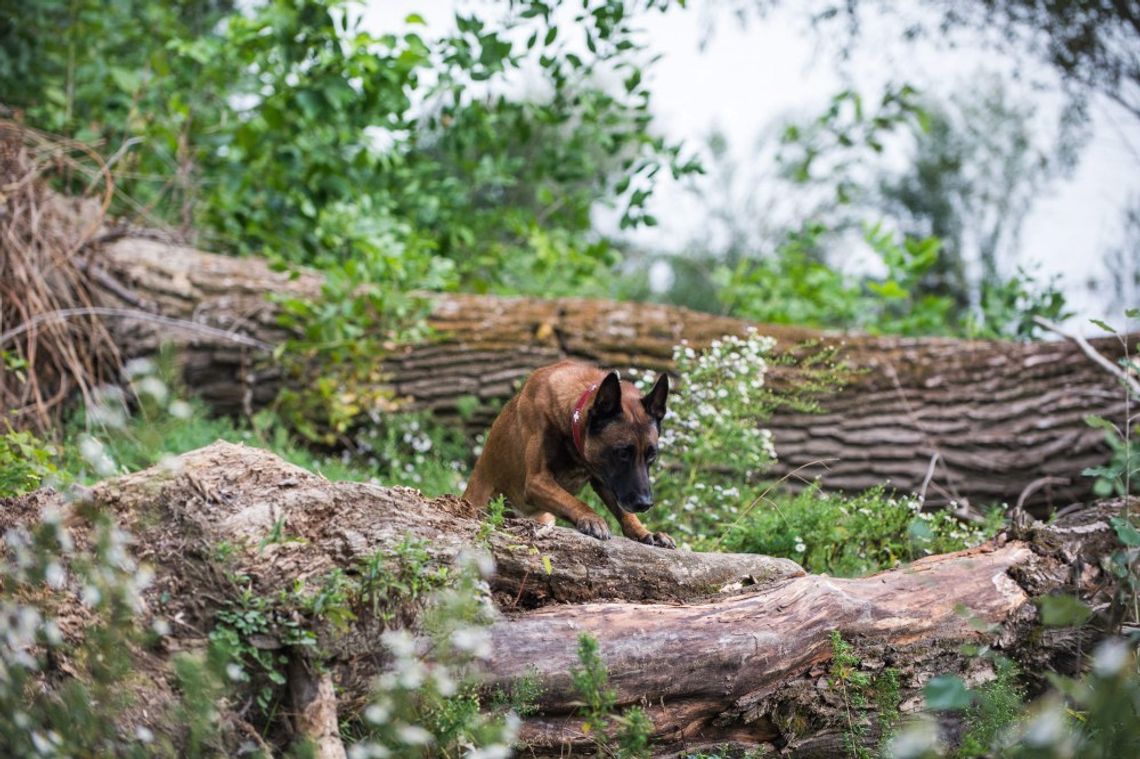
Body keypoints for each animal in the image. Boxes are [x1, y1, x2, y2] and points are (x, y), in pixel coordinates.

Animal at [462, 360, 674, 544]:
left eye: (652, 455)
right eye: (622, 453)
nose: (645, 504)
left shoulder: (606, 480)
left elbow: (624, 512)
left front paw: (644, 532)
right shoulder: (537, 480)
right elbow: (573, 501)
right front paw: (591, 518)